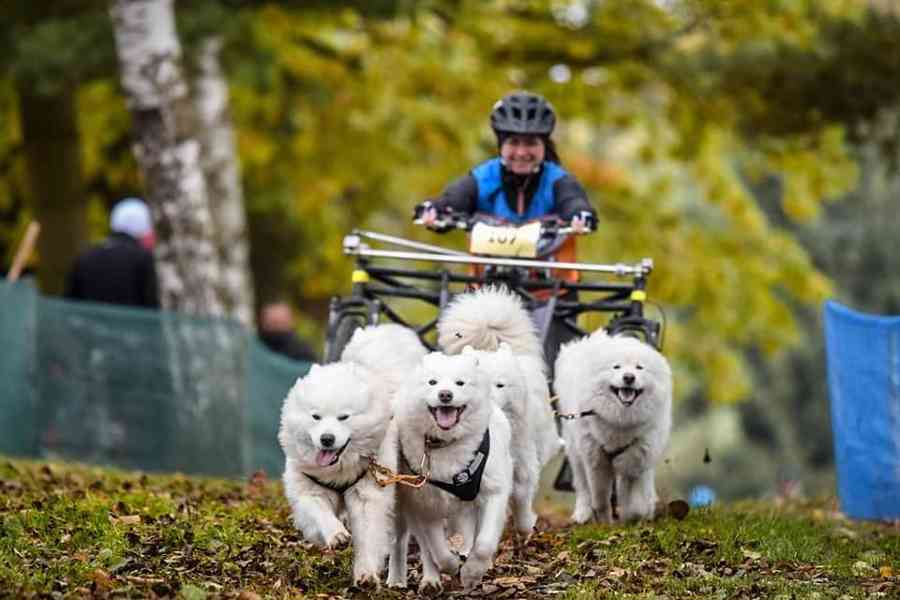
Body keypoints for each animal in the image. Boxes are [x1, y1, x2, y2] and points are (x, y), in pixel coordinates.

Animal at [278, 324, 426, 584]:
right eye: (316, 417)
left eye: (343, 417)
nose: (327, 438)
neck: (339, 470)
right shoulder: (309, 490)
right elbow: (320, 513)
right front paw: (336, 535)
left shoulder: (368, 494)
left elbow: (368, 537)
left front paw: (366, 573)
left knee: (398, 540)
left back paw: (396, 579)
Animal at [388, 350, 512, 592]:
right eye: (432, 382)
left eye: (460, 383)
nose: (445, 395)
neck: (446, 443)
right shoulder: (426, 505)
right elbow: (437, 550)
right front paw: (451, 566)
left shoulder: (494, 492)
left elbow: (483, 544)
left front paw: (472, 573)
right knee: (407, 543)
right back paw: (413, 579)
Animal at [552, 330, 672, 524]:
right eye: (616, 367)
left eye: (639, 368)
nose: (629, 377)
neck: (620, 420)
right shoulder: (596, 460)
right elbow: (600, 499)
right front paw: (604, 522)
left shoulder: (640, 456)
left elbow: (636, 499)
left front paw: (634, 516)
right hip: (575, 452)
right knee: (582, 487)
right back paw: (582, 514)